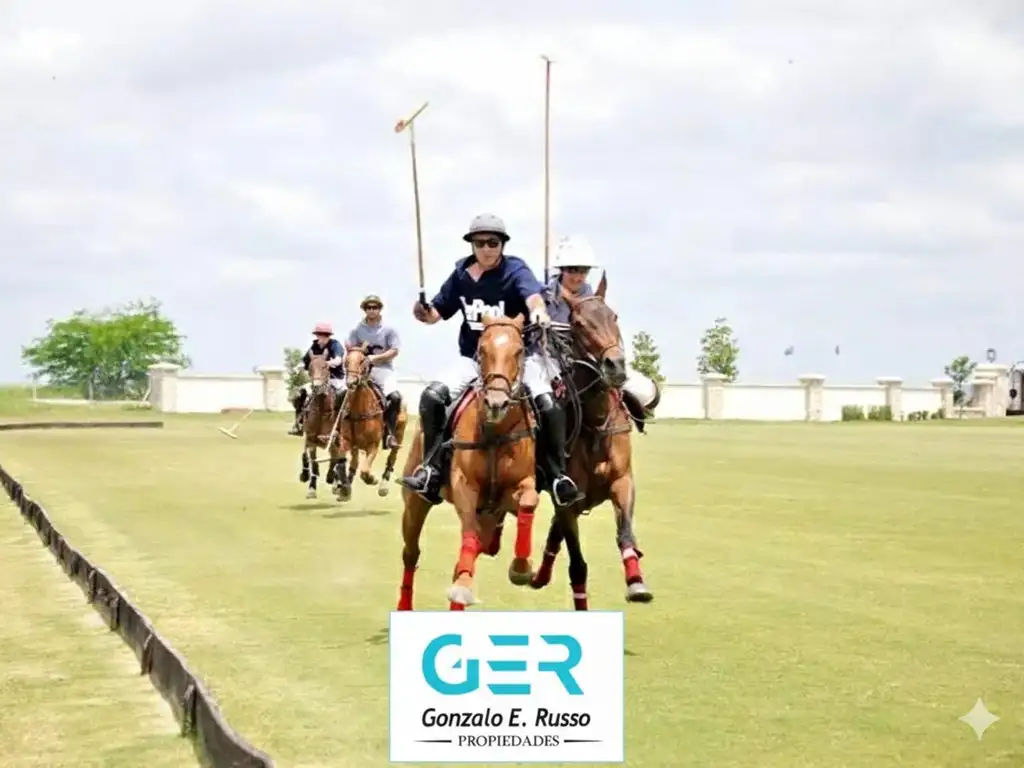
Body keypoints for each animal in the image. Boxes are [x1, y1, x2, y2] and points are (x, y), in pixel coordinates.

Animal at [298, 353, 346, 500]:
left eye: (325, 366)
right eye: (310, 367)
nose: (317, 387)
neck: (321, 410)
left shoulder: (333, 440)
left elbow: (334, 460)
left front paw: (332, 478)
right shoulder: (311, 439)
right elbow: (313, 462)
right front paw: (311, 487)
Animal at [335, 344, 408, 499]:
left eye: (363, 360)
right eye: (346, 360)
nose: (351, 382)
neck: (359, 410)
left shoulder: (373, 445)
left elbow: (365, 471)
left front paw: (371, 479)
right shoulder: (347, 441)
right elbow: (345, 462)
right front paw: (344, 488)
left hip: (399, 435)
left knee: (391, 459)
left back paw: (383, 486)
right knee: (355, 462)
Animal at [397, 314, 540, 611]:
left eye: (519, 351)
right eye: (481, 349)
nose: (496, 403)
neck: (495, 432)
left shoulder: (518, 487)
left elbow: (529, 500)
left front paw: (521, 568)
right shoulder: (465, 485)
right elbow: (469, 534)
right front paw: (463, 588)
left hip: (489, 516)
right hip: (415, 501)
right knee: (411, 552)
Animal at [529, 274, 654, 608]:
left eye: (614, 316)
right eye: (579, 323)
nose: (616, 365)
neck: (595, 423)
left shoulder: (622, 482)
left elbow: (625, 534)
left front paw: (637, 582)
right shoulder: (567, 497)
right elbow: (577, 565)